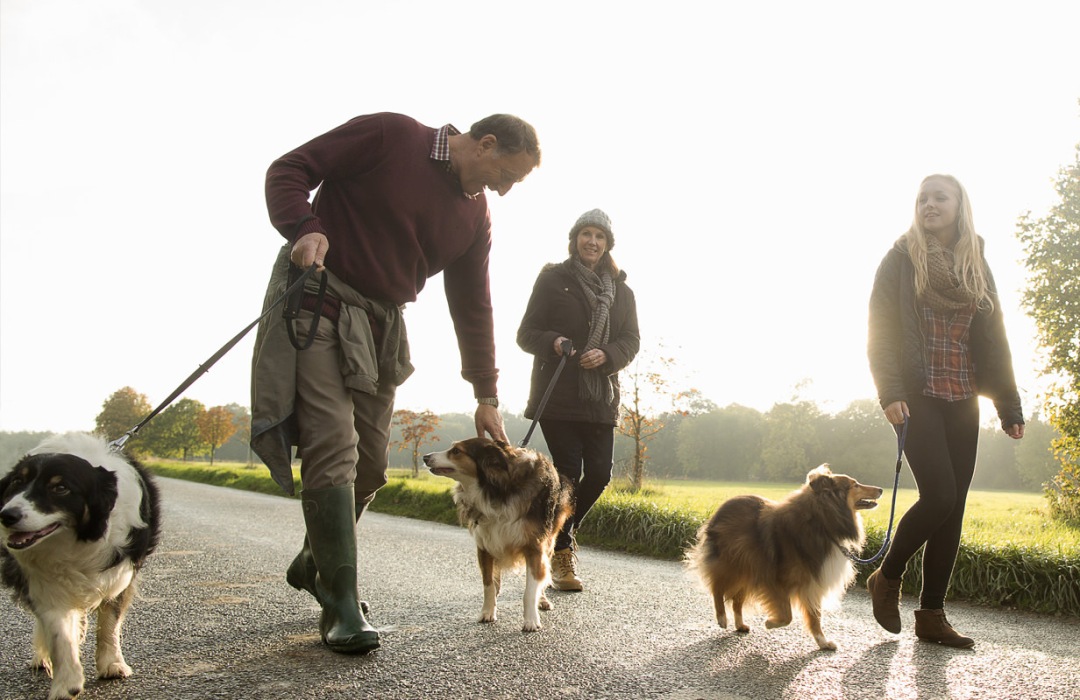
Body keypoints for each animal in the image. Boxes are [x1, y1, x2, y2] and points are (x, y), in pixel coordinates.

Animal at [0, 434, 159, 695]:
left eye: (60, 488)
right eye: (16, 482)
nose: (6, 515)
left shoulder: (119, 573)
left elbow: (109, 623)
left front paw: (112, 664)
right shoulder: (44, 582)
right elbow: (60, 634)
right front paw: (67, 684)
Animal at [421, 440, 574, 630]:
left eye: (456, 451)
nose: (425, 457)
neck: (497, 490)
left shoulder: (534, 546)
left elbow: (531, 588)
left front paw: (531, 620)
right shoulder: (485, 544)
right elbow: (488, 584)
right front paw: (487, 612)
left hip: (549, 540)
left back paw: (543, 600)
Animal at [686, 464, 881, 652]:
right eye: (855, 485)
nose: (880, 489)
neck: (821, 521)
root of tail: (721, 510)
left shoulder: (812, 582)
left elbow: (815, 616)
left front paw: (823, 643)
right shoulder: (775, 579)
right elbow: (787, 615)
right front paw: (770, 623)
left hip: (747, 570)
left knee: (736, 600)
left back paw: (740, 624)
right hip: (732, 564)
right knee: (717, 587)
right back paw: (721, 617)